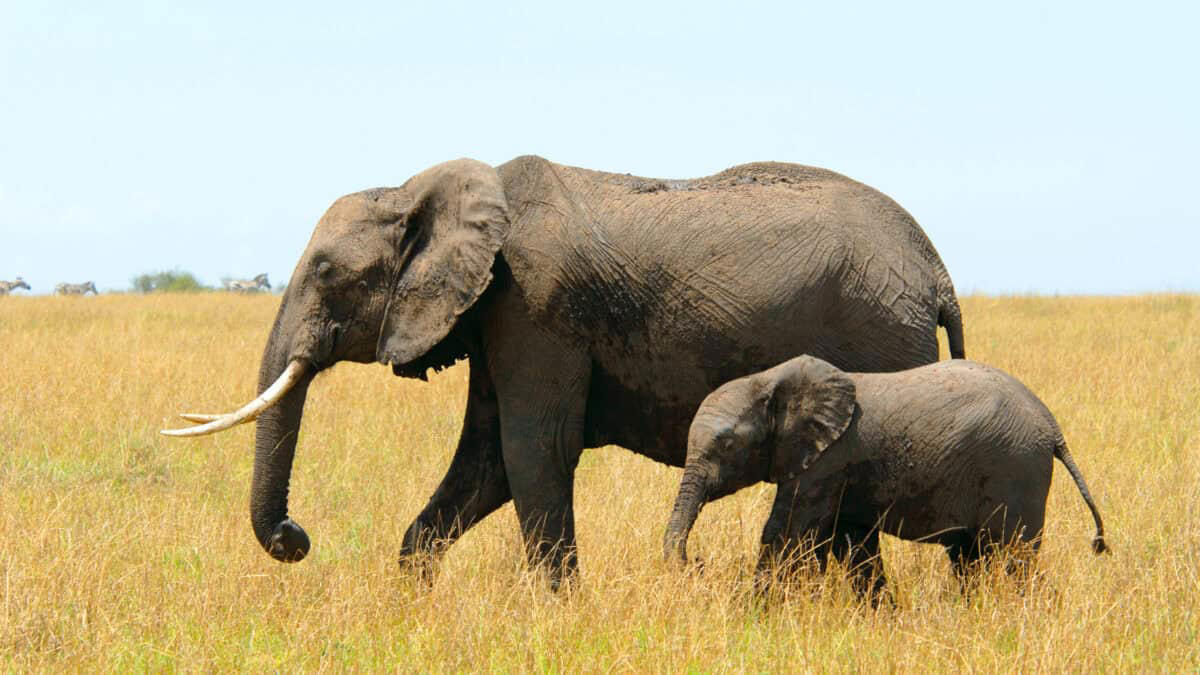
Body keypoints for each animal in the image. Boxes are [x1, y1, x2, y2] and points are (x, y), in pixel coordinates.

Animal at [162, 155, 966, 588]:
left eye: (327, 272)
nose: (295, 537)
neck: (422, 185)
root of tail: (936, 271)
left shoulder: (535, 307)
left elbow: (532, 452)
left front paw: (558, 612)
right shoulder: (496, 315)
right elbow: (485, 461)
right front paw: (412, 600)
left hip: (879, 335)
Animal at [663, 355, 1108, 599]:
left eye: (726, 445)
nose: (696, 563)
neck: (771, 379)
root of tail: (1052, 428)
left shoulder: (828, 460)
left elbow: (788, 534)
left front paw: (754, 612)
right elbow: (851, 542)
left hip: (1015, 469)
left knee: (1015, 556)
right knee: (971, 558)